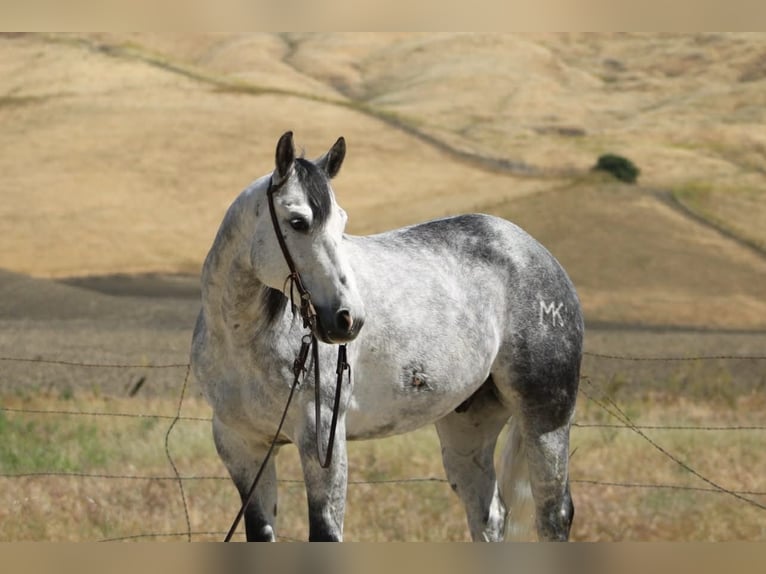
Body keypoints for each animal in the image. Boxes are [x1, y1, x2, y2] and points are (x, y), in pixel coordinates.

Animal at [191, 131, 583, 542]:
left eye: (342, 222)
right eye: (297, 222)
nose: (348, 319)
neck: (243, 342)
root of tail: (535, 252)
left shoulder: (322, 440)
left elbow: (325, 532)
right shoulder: (242, 446)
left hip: (546, 420)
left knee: (554, 514)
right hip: (468, 426)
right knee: (489, 515)